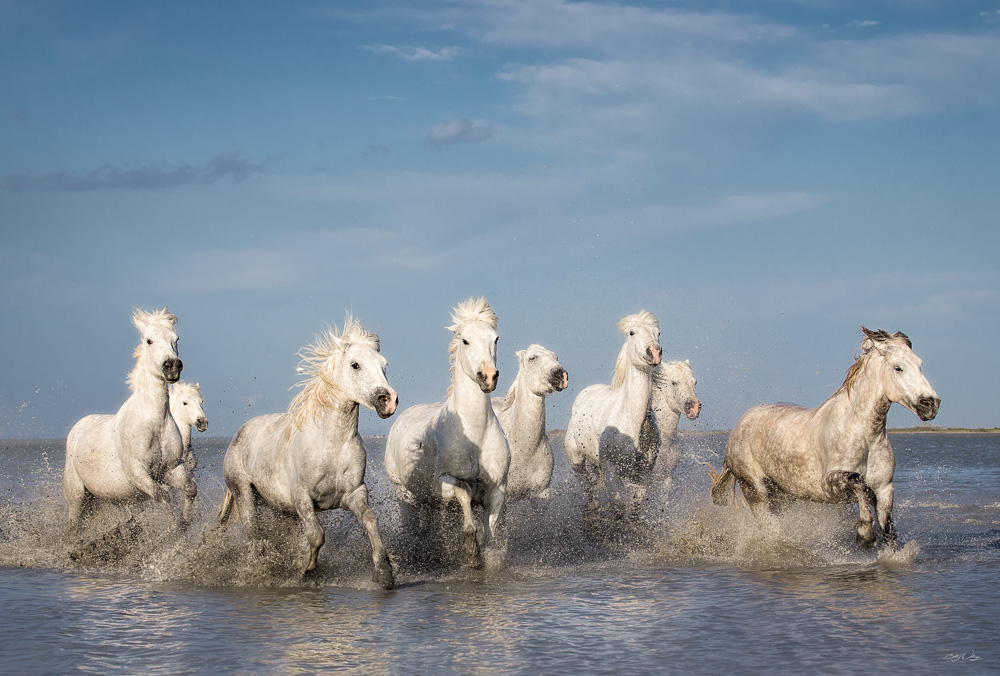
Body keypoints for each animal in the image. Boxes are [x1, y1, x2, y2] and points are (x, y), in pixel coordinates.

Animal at [64, 308, 195, 536]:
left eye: (176, 338)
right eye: (149, 340)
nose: (172, 367)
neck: (154, 424)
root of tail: (78, 427)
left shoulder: (170, 470)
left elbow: (189, 487)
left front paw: (186, 521)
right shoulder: (138, 474)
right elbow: (162, 496)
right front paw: (174, 529)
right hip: (77, 496)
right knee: (74, 524)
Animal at [218, 317, 398, 587]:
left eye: (384, 365)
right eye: (355, 365)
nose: (388, 400)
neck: (331, 444)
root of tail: (240, 432)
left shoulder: (354, 494)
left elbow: (370, 521)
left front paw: (384, 572)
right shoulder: (302, 497)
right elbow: (316, 535)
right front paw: (306, 570)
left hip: (282, 509)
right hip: (244, 493)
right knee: (254, 534)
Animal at [385, 297, 510, 568]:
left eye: (495, 338)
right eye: (465, 340)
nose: (488, 377)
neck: (475, 437)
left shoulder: (497, 490)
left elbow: (491, 532)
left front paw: (486, 553)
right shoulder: (444, 482)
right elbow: (464, 493)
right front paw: (471, 551)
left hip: (427, 503)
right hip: (406, 498)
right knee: (414, 530)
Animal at [564, 311, 663, 513]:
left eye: (658, 333)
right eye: (632, 332)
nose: (654, 352)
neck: (632, 422)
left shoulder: (644, 474)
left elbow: (634, 510)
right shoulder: (610, 469)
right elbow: (618, 506)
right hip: (577, 461)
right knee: (588, 486)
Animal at [709, 327, 940, 550]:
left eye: (919, 364)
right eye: (898, 367)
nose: (931, 404)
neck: (863, 435)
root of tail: (738, 427)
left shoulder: (884, 489)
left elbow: (889, 533)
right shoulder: (830, 485)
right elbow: (858, 482)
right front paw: (865, 534)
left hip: (781, 495)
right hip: (756, 491)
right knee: (770, 528)